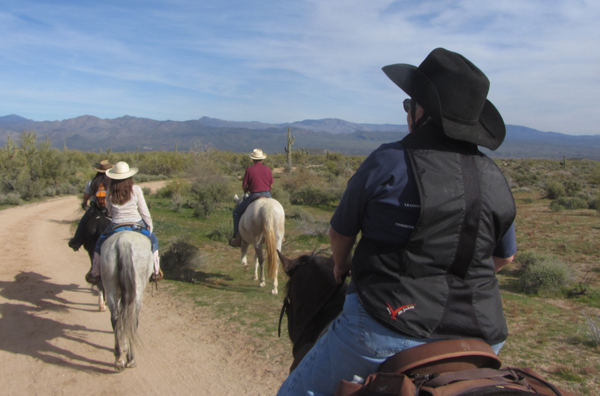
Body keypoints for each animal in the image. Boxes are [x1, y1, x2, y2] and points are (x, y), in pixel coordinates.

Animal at [101, 230, 154, 370]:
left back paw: (118, 358)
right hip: (138, 289)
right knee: (132, 319)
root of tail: (123, 242)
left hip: (110, 285)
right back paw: (130, 359)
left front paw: (123, 343)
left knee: (115, 318)